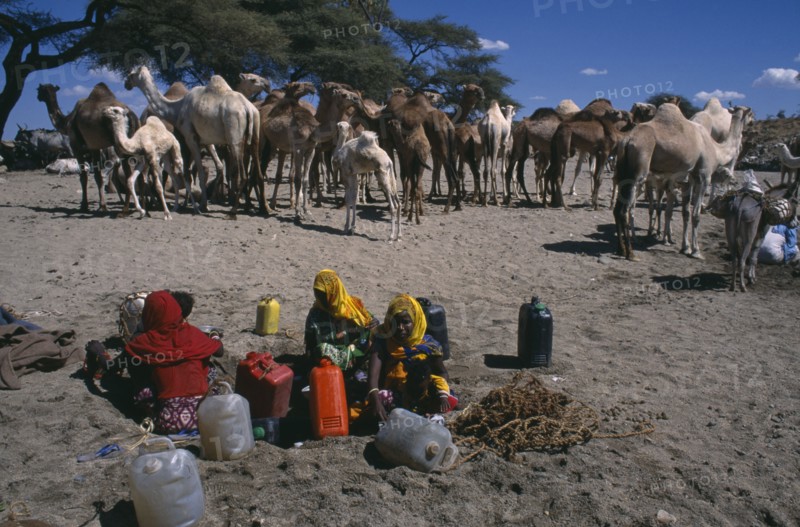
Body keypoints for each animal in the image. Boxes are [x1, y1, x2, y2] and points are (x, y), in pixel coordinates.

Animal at [125, 65, 265, 217]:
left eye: (131, 74)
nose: (126, 84)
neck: (177, 108)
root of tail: (248, 108)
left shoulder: (190, 137)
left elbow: (198, 172)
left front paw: (203, 205)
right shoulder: (204, 140)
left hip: (234, 137)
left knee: (242, 174)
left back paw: (233, 210)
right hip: (255, 134)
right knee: (257, 171)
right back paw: (263, 208)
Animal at [613, 104, 753, 260]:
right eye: (750, 114)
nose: (752, 122)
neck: (716, 150)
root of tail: (627, 141)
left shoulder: (688, 181)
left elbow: (685, 213)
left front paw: (685, 248)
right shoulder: (704, 177)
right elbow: (696, 215)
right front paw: (696, 251)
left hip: (623, 171)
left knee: (617, 209)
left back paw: (621, 249)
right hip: (639, 170)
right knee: (625, 210)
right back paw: (630, 253)